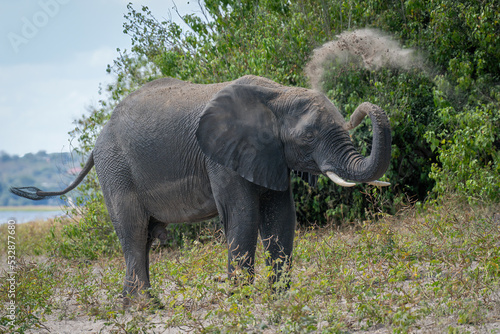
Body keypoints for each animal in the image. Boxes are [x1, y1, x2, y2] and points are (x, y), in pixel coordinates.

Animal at [10, 74, 390, 298]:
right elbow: (242, 215)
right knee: (134, 232)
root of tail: (95, 143)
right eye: (309, 136)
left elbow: (282, 217)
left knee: (144, 240)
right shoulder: (219, 156)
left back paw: (143, 306)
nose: (362, 109)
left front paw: (279, 298)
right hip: (115, 169)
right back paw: (144, 307)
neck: (278, 94)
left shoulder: (271, 156)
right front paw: (241, 302)